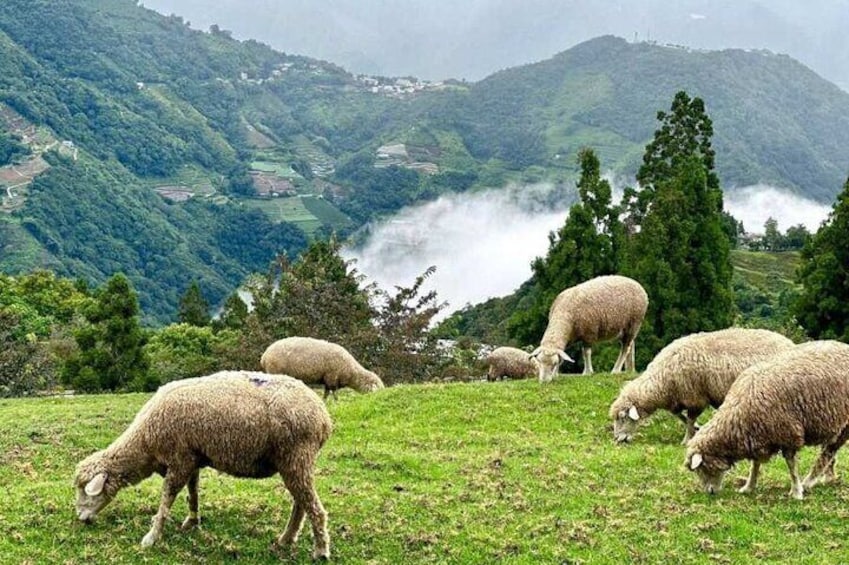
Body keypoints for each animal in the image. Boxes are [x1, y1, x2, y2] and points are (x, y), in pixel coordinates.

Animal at [73, 370, 332, 560]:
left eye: (85, 491)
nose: (80, 518)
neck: (145, 442)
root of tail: (323, 418)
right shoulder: (192, 458)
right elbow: (193, 492)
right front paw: (192, 522)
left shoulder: (179, 459)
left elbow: (166, 498)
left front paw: (152, 537)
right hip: (295, 462)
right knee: (301, 503)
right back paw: (286, 539)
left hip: (296, 457)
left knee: (313, 507)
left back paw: (320, 551)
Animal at [608, 328, 796, 442]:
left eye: (623, 418)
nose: (618, 440)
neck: (662, 380)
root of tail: (790, 344)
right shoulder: (678, 399)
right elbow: (680, 416)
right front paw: (696, 429)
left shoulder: (695, 397)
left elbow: (690, 418)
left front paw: (687, 438)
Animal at [684, 340, 849, 498]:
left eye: (701, 469)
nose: (710, 492)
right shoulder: (757, 436)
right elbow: (755, 465)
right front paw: (748, 487)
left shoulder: (788, 433)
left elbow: (791, 466)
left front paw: (796, 491)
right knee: (829, 450)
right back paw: (827, 477)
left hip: (845, 425)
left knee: (828, 452)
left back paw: (809, 482)